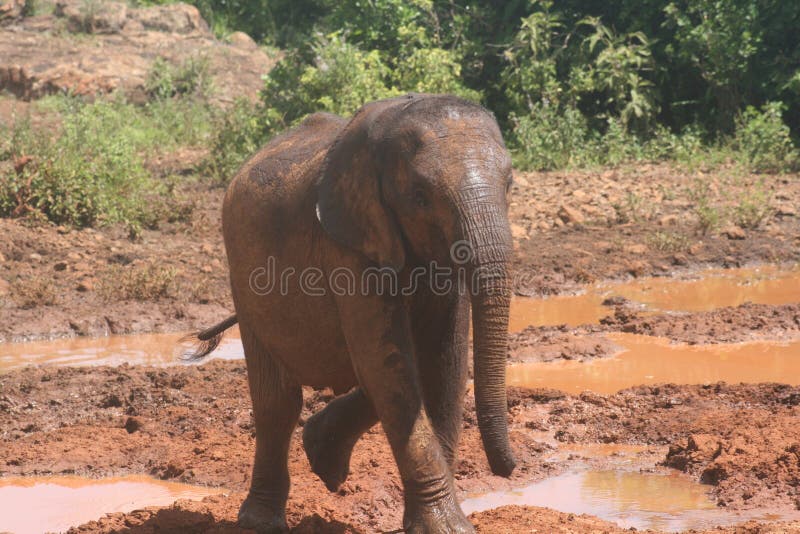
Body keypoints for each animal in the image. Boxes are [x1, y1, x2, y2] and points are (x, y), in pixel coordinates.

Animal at [188, 94, 516, 532]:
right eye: (420, 196)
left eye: (510, 185)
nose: (509, 468)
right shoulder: (349, 246)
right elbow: (389, 365)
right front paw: (449, 526)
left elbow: (441, 363)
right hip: (243, 276)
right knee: (278, 402)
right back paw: (260, 522)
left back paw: (323, 458)